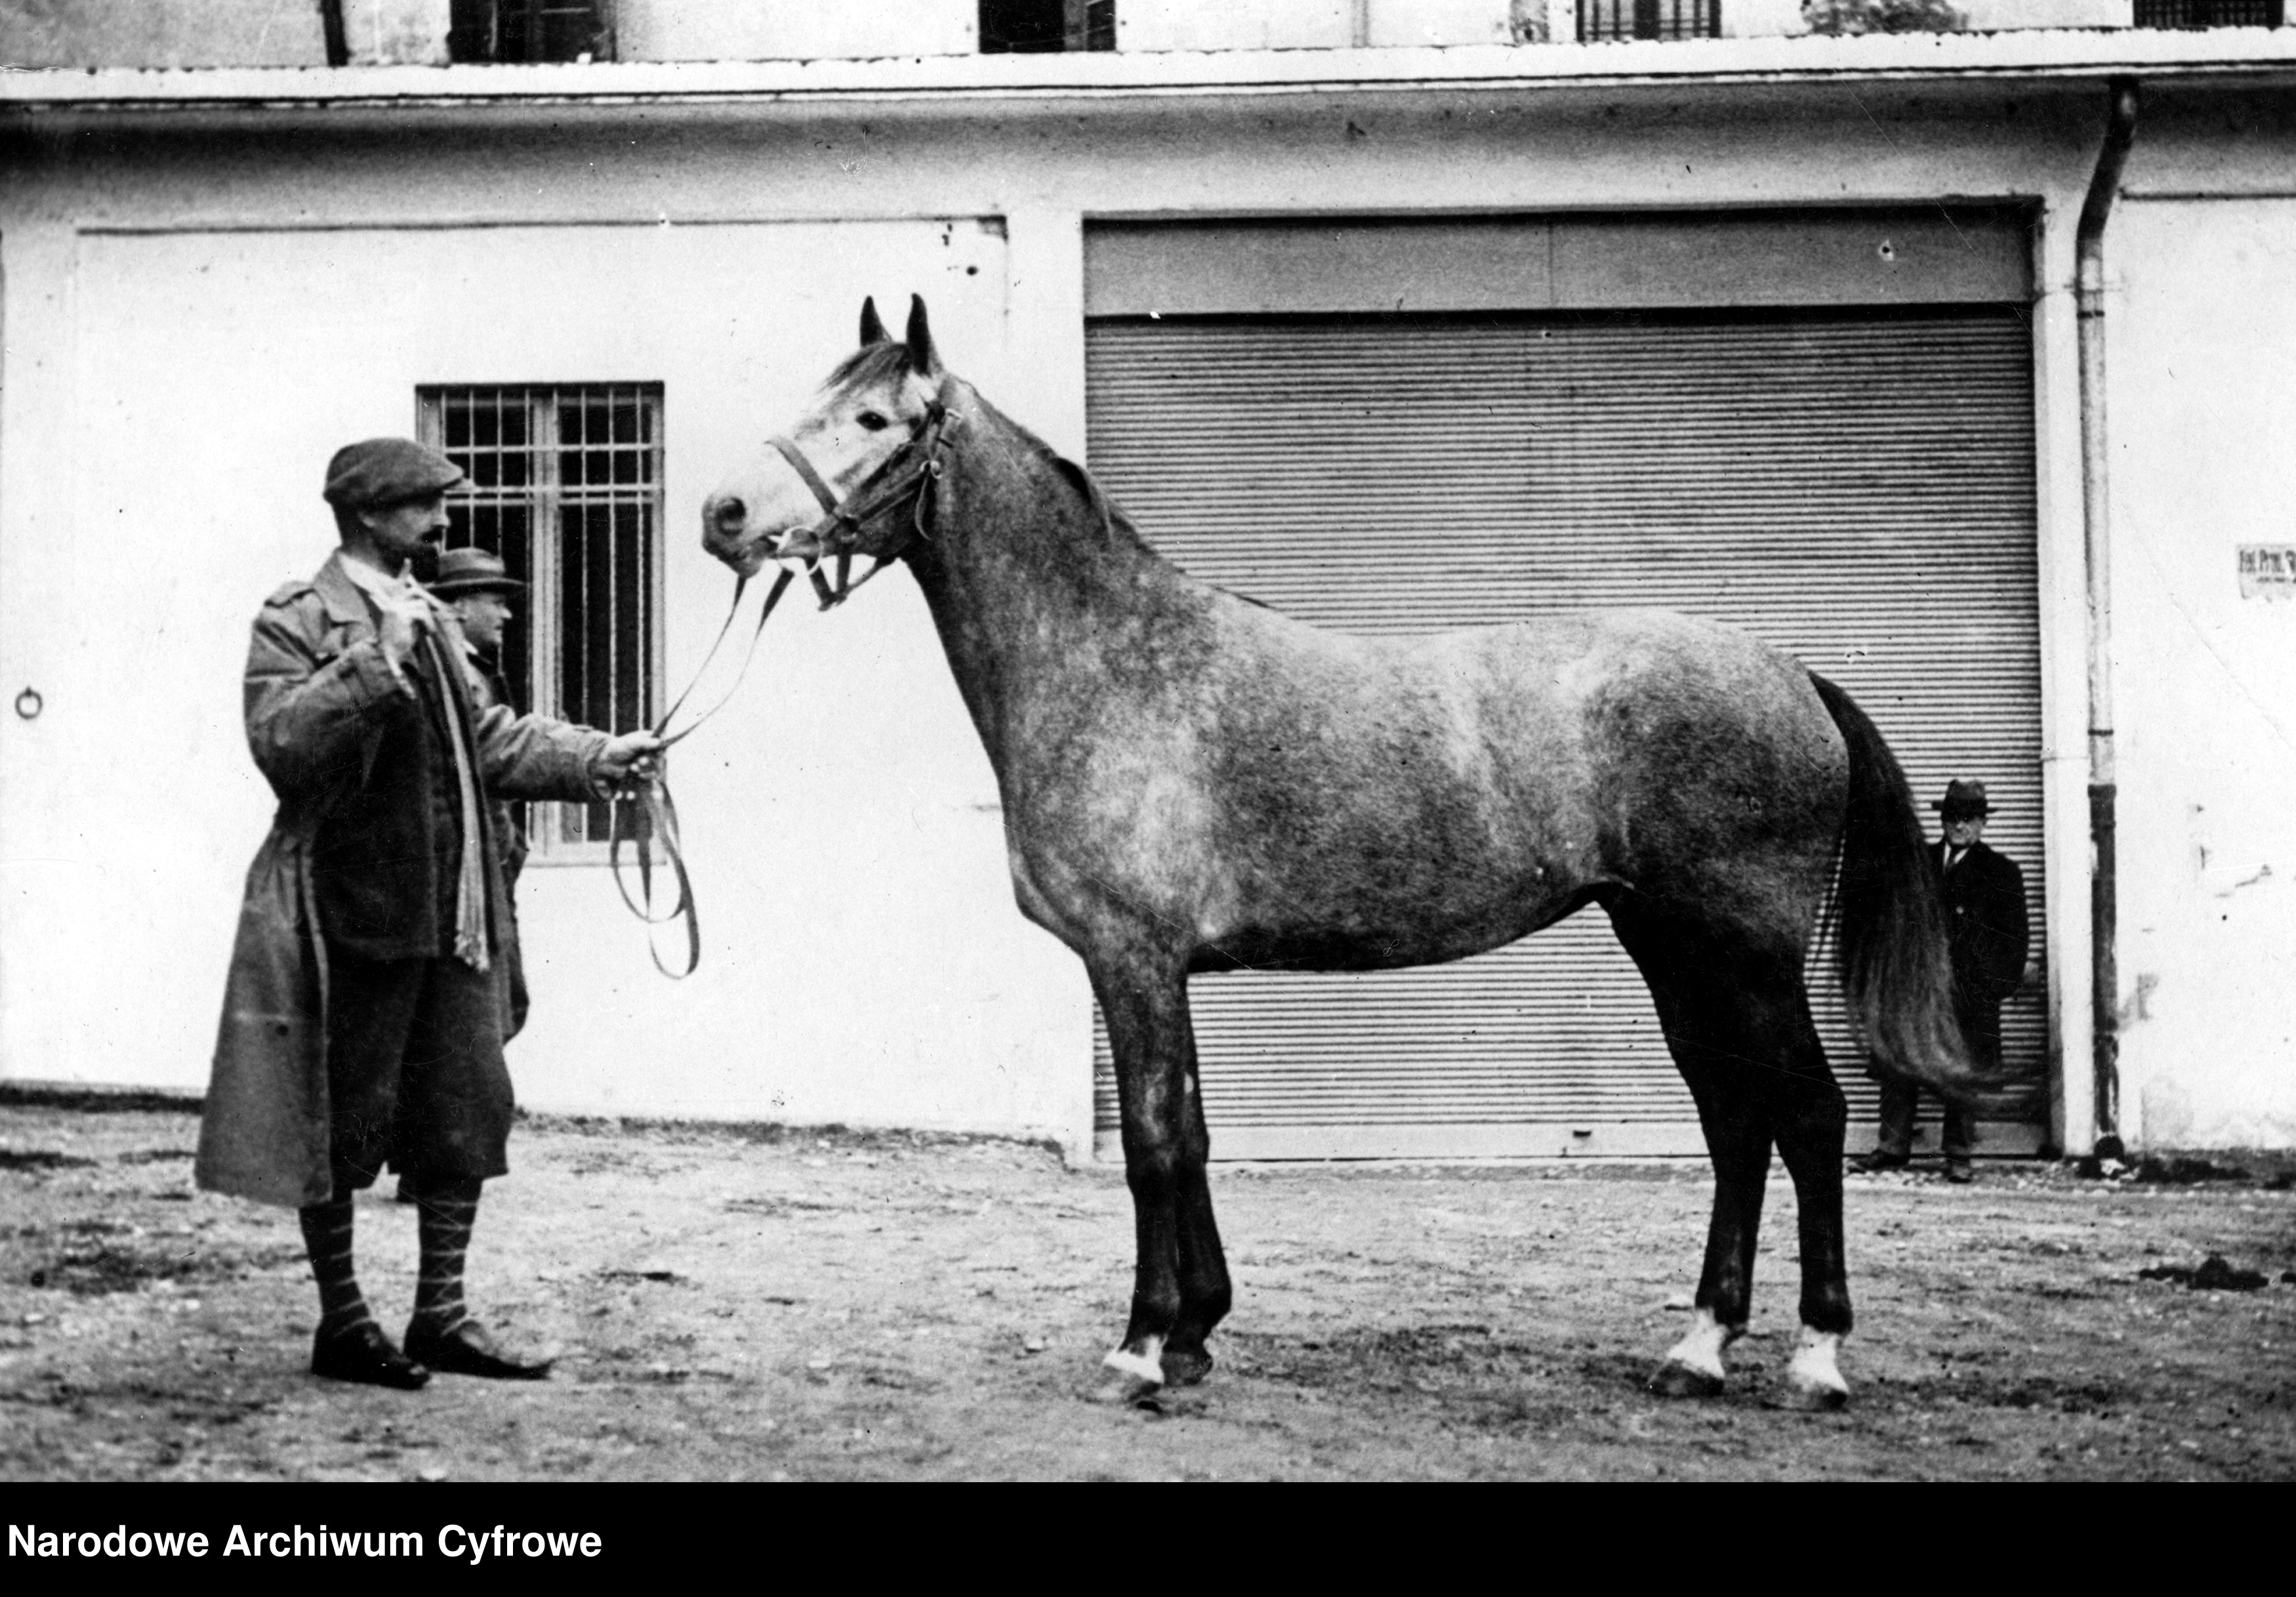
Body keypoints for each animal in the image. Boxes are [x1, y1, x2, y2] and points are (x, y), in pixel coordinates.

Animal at [698, 299, 1975, 1415]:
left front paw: (1141, 1348)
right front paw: (1198, 1330)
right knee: (1735, 1122)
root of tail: (1794, 675)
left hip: (1742, 953)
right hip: (1674, 950)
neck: (1113, 660)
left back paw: (1816, 1359)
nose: (723, 512)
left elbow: (1153, 1141)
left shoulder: (1132, 959)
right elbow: (1193, 1131)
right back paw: (1699, 1347)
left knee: (1806, 1115)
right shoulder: (1162, 971)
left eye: (873, 419)